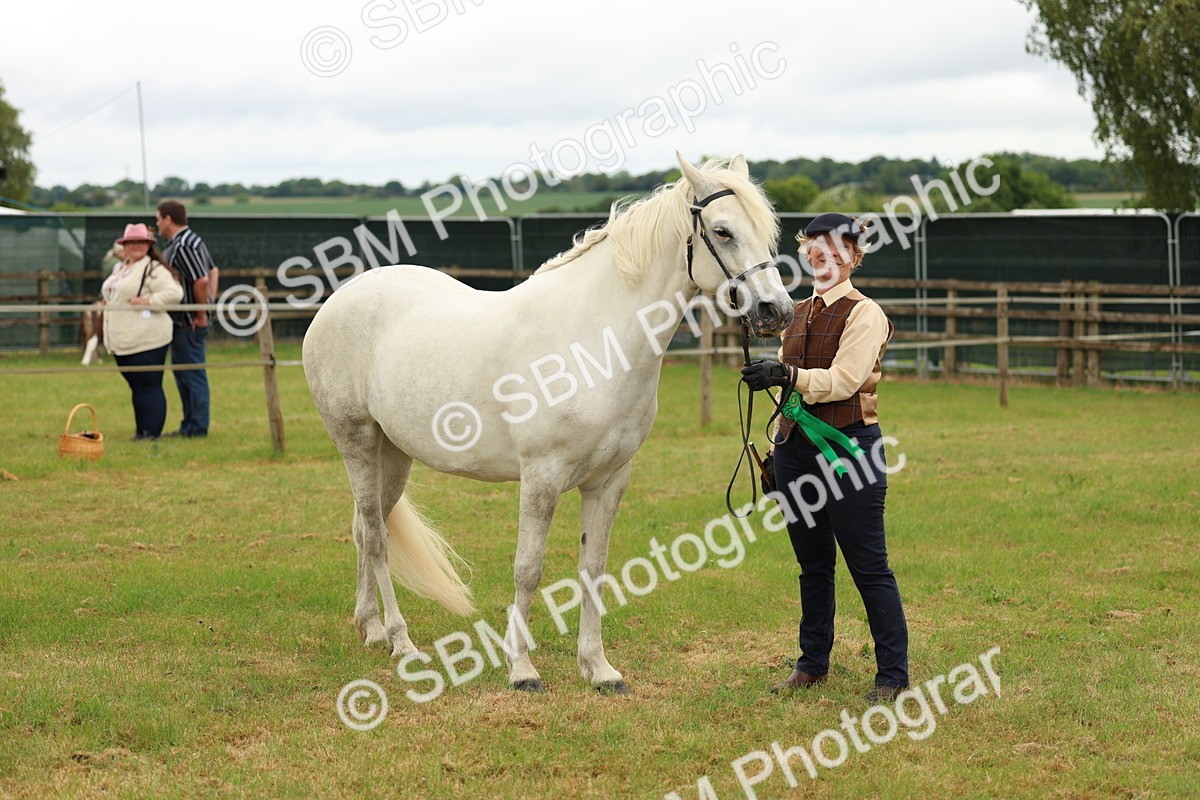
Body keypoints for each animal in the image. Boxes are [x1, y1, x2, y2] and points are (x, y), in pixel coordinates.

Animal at [302, 153, 793, 693]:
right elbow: (528, 569)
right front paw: (521, 670)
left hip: (394, 454)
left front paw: (598, 668)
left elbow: (593, 568)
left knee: (365, 530)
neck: (593, 341)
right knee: (375, 534)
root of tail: (341, 298)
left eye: (767, 232)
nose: (776, 311)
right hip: (357, 443)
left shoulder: (609, 481)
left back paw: (370, 628)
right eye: (723, 231)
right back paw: (400, 640)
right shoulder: (541, 477)